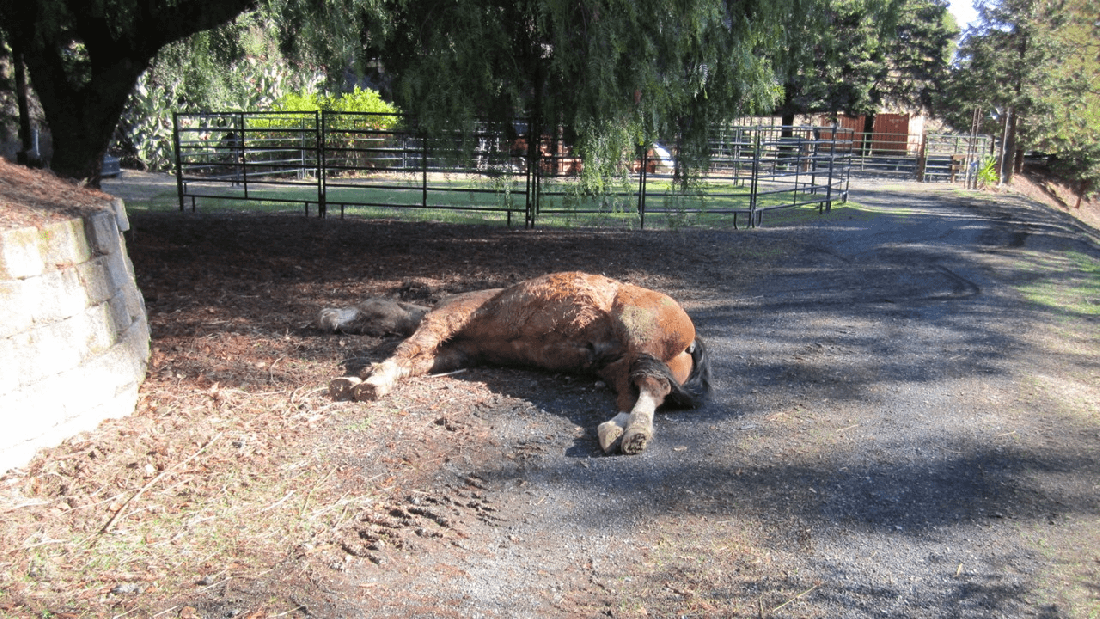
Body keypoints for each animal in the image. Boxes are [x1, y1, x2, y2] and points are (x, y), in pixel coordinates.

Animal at [318, 271, 710, 454]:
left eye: (363, 310)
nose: (325, 316)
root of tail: (691, 336)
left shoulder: (443, 319)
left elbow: (404, 350)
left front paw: (366, 381)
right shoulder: (449, 352)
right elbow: (409, 361)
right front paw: (369, 379)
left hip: (641, 337)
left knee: (651, 387)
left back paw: (634, 434)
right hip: (619, 366)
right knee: (639, 393)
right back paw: (616, 431)